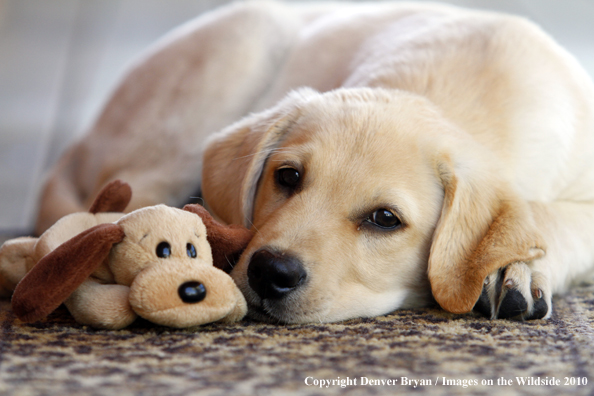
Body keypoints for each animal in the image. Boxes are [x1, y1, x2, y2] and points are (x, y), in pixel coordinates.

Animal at [34, 1, 592, 322]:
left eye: (385, 219)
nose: (269, 273)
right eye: (287, 177)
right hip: (228, 60)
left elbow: (547, 215)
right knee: (126, 203)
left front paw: (513, 269)